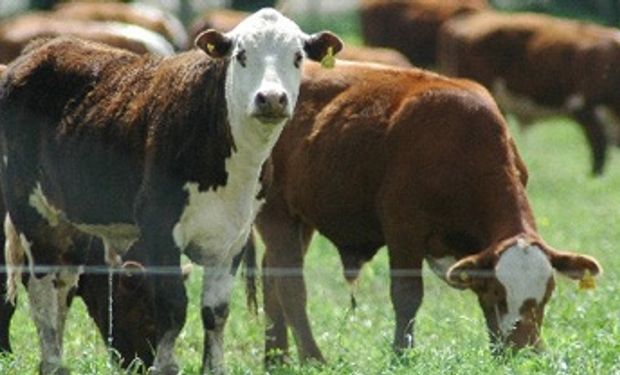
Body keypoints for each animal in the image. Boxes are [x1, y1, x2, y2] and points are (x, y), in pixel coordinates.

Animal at [252, 60, 600, 366]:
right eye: (501, 292)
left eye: (548, 294)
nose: (526, 351)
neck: (463, 145)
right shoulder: (403, 230)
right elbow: (407, 296)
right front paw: (401, 356)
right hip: (275, 211)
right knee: (289, 285)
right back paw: (312, 358)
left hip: (300, 219)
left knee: (271, 276)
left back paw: (276, 359)